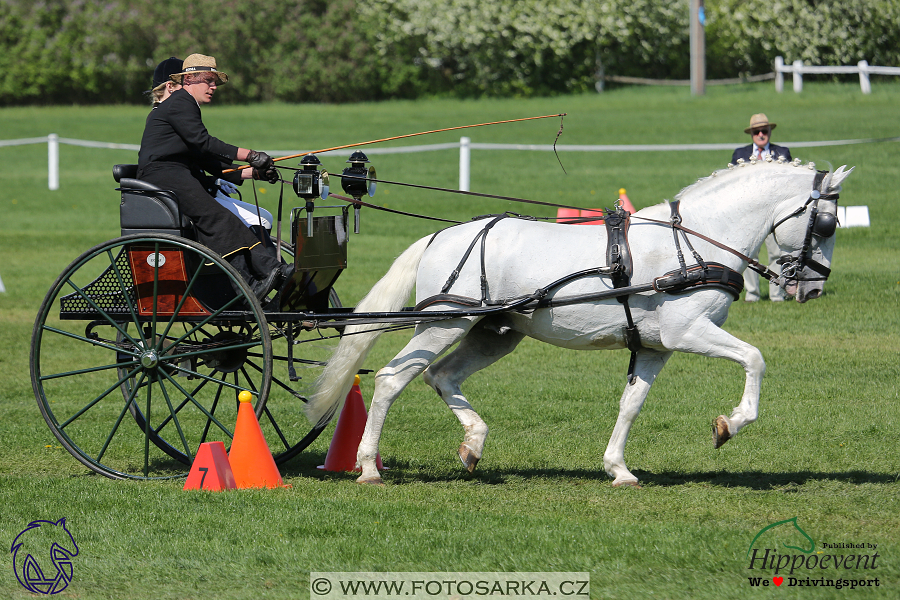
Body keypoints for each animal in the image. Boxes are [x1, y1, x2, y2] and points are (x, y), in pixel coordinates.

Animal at [308, 161, 852, 488]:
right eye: (827, 224)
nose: (812, 287)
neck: (695, 242)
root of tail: (441, 235)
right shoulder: (688, 332)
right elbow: (755, 359)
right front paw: (730, 424)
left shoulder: (655, 347)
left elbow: (632, 404)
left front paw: (618, 468)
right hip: (444, 323)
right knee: (392, 378)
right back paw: (368, 467)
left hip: (493, 333)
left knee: (439, 376)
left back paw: (473, 444)